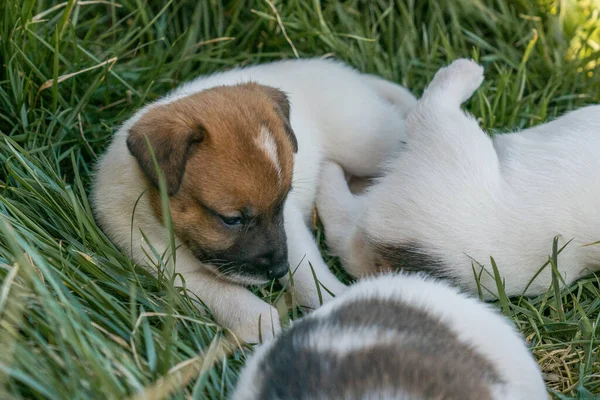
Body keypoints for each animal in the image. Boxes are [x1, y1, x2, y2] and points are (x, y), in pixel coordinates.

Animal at [91, 57, 418, 342]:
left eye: (283, 200)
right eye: (232, 219)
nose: (277, 271)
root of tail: (351, 76)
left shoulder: (289, 227)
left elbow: (306, 269)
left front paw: (334, 299)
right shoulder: (156, 263)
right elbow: (218, 291)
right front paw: (258, 320)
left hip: (367, 145)